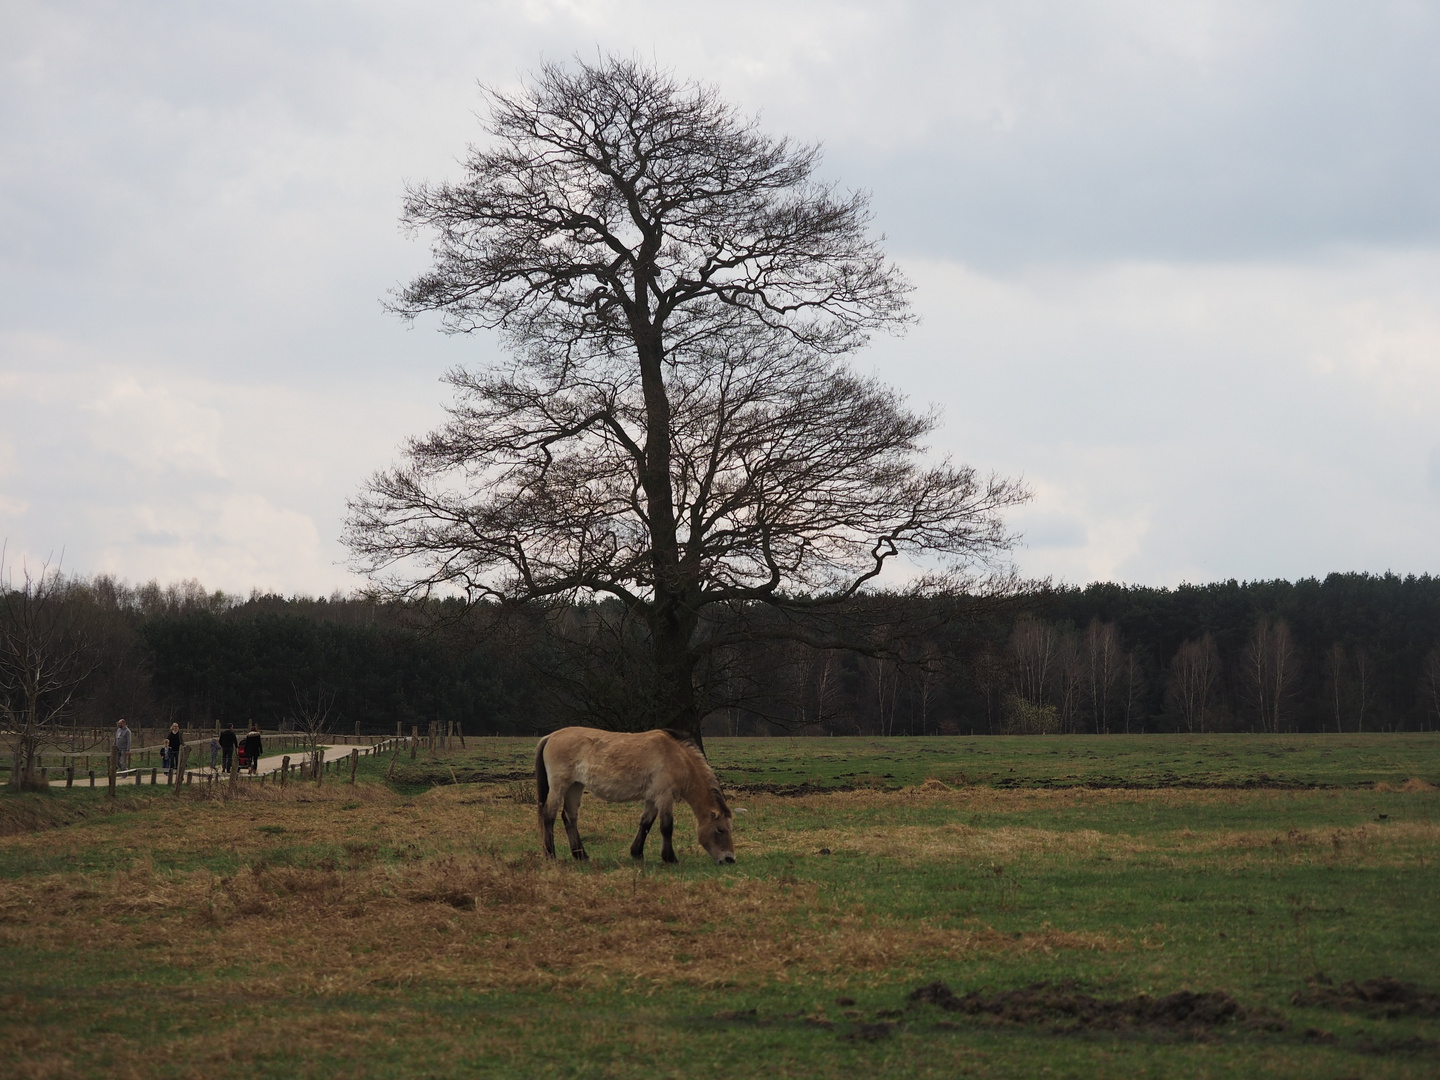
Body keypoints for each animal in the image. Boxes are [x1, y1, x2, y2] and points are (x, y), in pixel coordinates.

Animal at [541, 731, 743, 869]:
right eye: (720, 830)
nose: (729, 859)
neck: (676, 756)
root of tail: (550, 736)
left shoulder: (652, 799)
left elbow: (645, 824)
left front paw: (637, 853)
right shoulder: (664, 797)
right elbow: (666, 827)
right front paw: (670, 858)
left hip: (575, 786)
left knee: (569, 817)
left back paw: (581, 855)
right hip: (560, 786)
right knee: (549, 816)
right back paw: (551, 855)